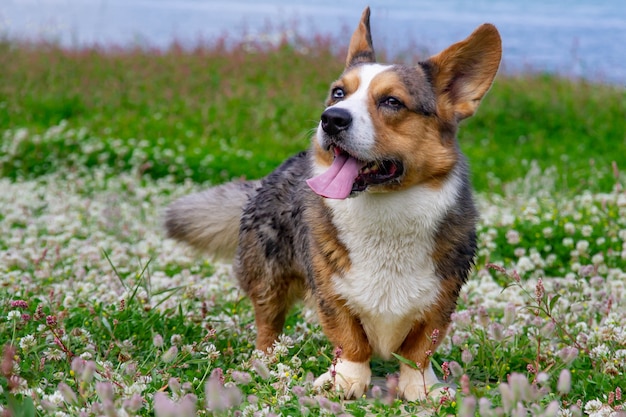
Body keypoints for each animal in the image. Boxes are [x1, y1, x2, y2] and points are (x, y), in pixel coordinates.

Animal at [163, 7, 500, 400]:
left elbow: (419, 349)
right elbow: (350, 339)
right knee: (267, 323)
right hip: (267, 277)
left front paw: (422, 388)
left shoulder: (441, 298)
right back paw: (264, 361)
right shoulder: (331, 291)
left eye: (392, 101)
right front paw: (347, 381)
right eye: (339, 93)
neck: (385, 212)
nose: (332, 119)